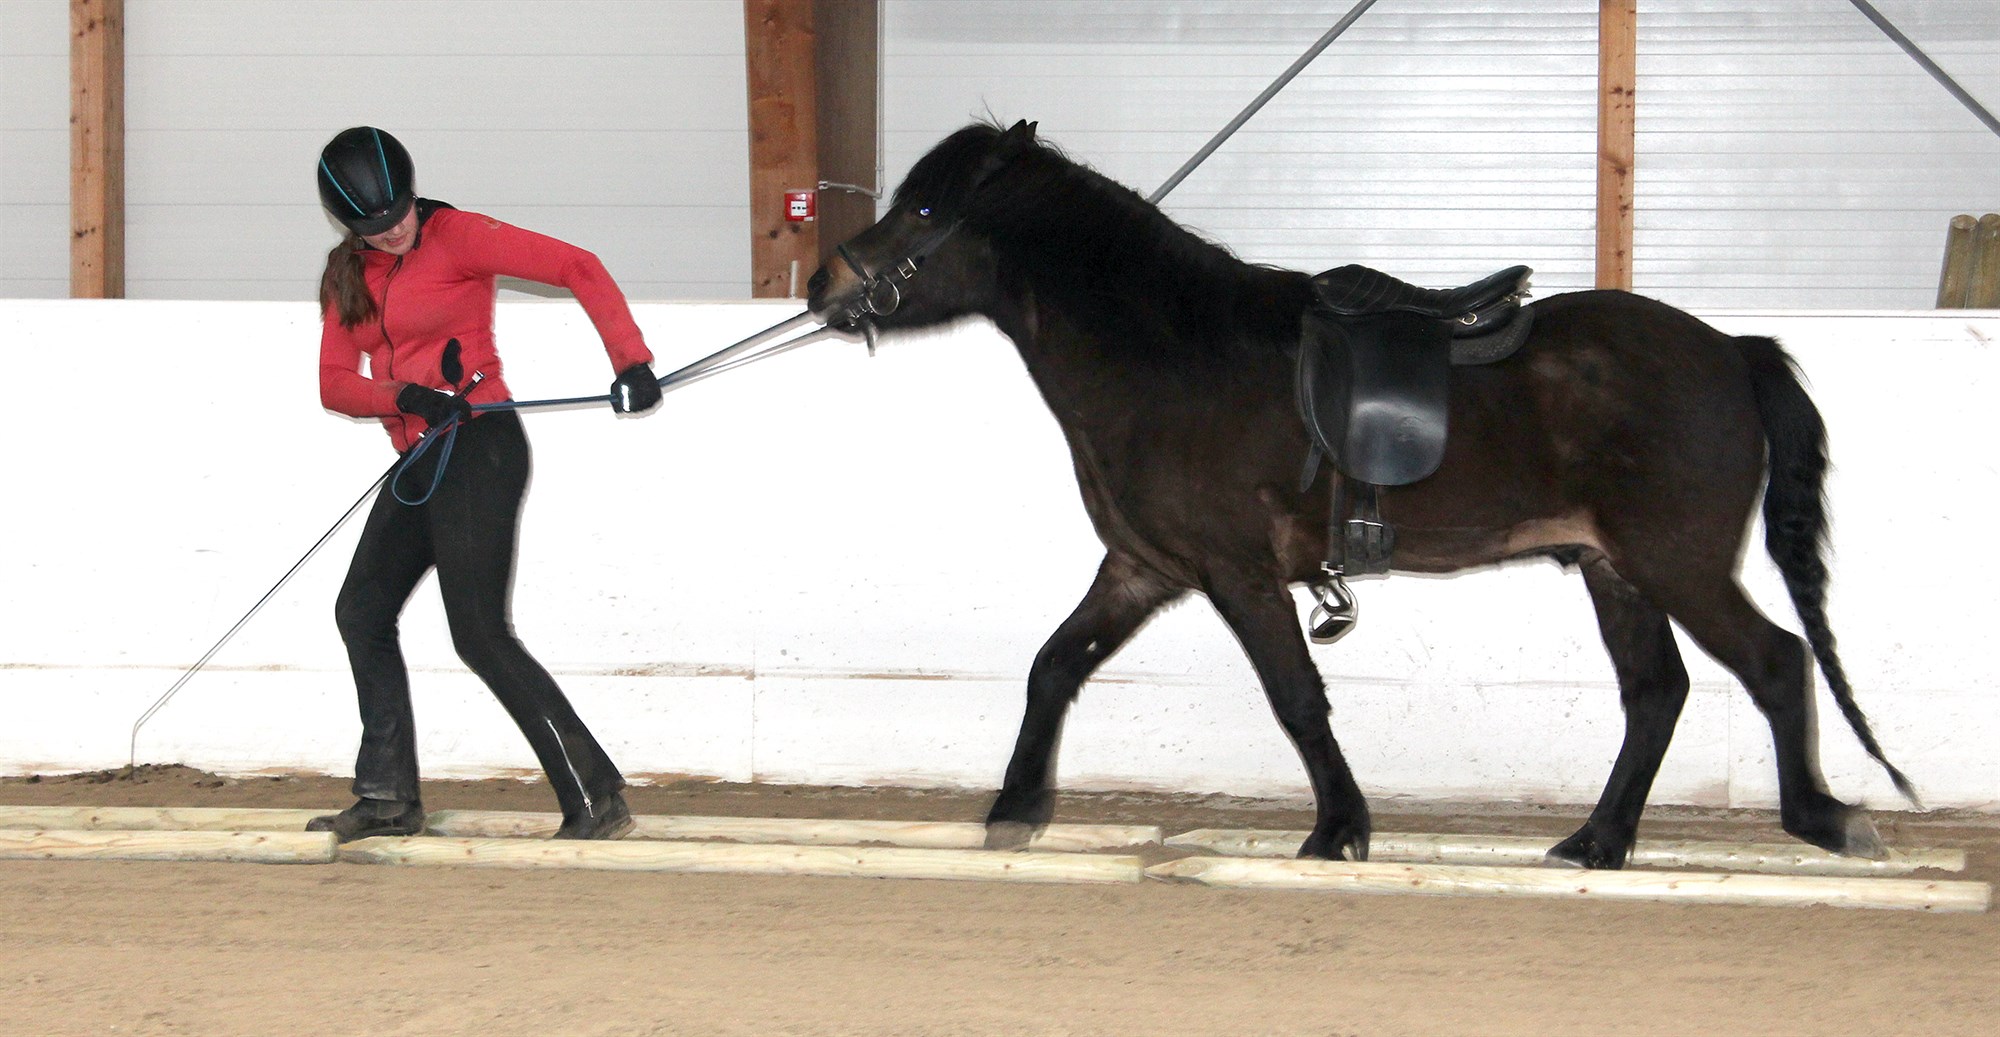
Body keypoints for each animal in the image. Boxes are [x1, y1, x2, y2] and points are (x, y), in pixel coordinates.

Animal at [803, 119, 1914, 868]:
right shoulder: (1143, 567)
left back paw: (1822, 817)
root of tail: (1731, 349)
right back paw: (1597, 840)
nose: (824, 286)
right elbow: (1051, 666)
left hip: (1673, 562)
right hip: (1615, 569)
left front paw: (1339, 828)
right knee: (1656, 693)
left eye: (926, 209)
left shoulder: (1236, 573)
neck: (1174, 356)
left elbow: (1295, 697)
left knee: (1773, 662)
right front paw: (1014, 807)